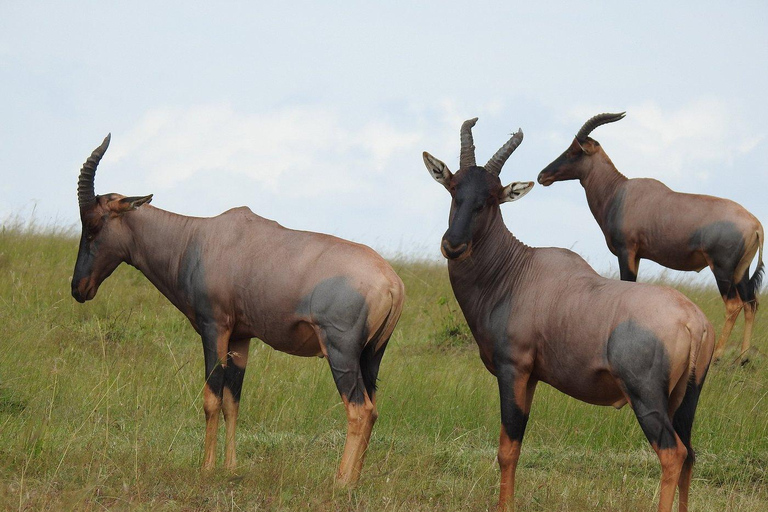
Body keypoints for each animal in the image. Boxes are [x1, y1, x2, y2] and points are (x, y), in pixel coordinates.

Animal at [71, 134, 404, 486]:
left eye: (93, 224)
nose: (79, 288)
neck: (199, 238)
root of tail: (393, 283)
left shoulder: (214, 327)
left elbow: (211, 398)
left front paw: (206, 468)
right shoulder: (241, 338)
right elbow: (233, 402)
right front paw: (230, 467)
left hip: (341, 353)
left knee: (359, 410)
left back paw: (341, 482)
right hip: (371, 356)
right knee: (373, 409)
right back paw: (355, 480)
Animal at [424, 119, 712, 512]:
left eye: (492, 198)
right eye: (454, 189)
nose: (453, 245)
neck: (517, 271)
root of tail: (692, 320)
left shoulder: (513, 370)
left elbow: (507, 449)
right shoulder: (531, 378)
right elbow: (515, 448)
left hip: (647, 397)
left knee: (673, 454)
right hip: (686, 399)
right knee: (691, 455)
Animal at [536, 112, 764, 360]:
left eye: (573, 151)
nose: (542, 176)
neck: (620, 193)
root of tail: (756, 224)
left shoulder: (626, 251)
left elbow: (626, 285)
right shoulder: (637, 255)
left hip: (722, 269)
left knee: (734, 305)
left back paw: (718, 355)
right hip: (741, 271)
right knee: (751, 303)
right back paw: (743, 358)